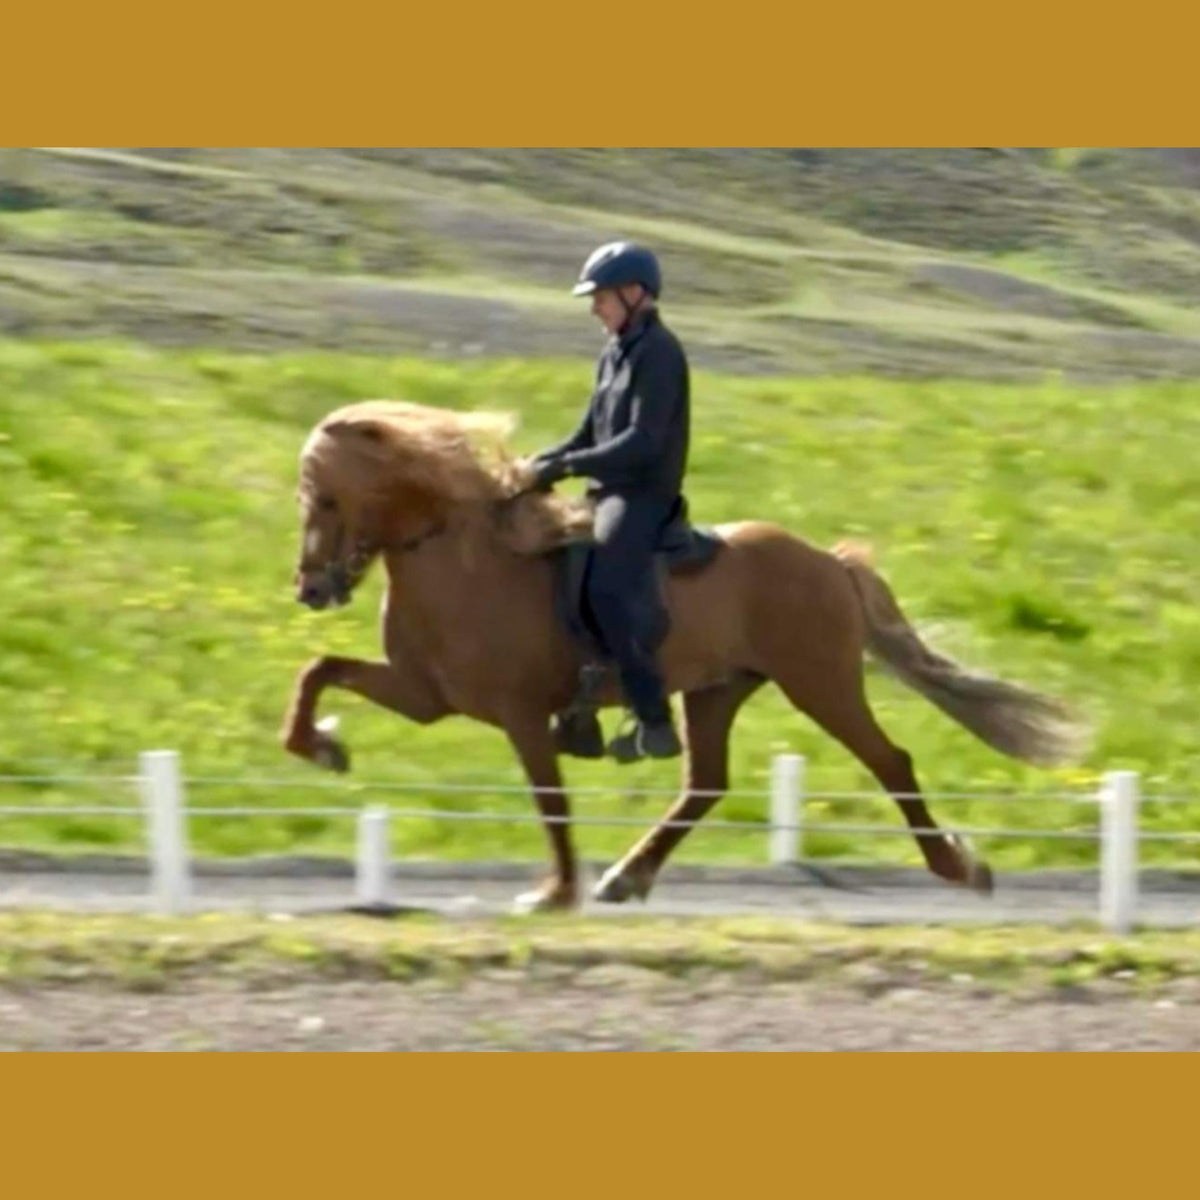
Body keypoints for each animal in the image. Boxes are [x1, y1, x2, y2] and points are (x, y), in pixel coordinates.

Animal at [283, 398, 1089, 912]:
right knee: (705, 785)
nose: (312, 588)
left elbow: (550, 801)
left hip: (819, 683)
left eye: (325, 499)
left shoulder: (520, 714)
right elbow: (319, 670)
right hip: (717, 691)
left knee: (891, 761)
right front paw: (322, 746)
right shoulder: (425, 696)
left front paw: (553, 893)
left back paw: (959, 866)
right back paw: (625, 878)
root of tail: (828, 562)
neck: (465, 560)